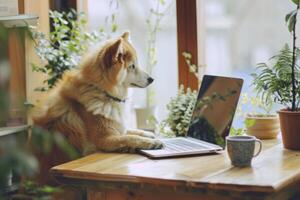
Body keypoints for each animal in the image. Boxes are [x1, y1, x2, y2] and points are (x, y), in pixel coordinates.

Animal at [33, 31, 163, 155]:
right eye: (132, 66)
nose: (151, 79)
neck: (103, 92)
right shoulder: (105, 139)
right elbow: (129, 138)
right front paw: (152, 142)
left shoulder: (117, 126)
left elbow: (130, 131)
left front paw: (148, 134)